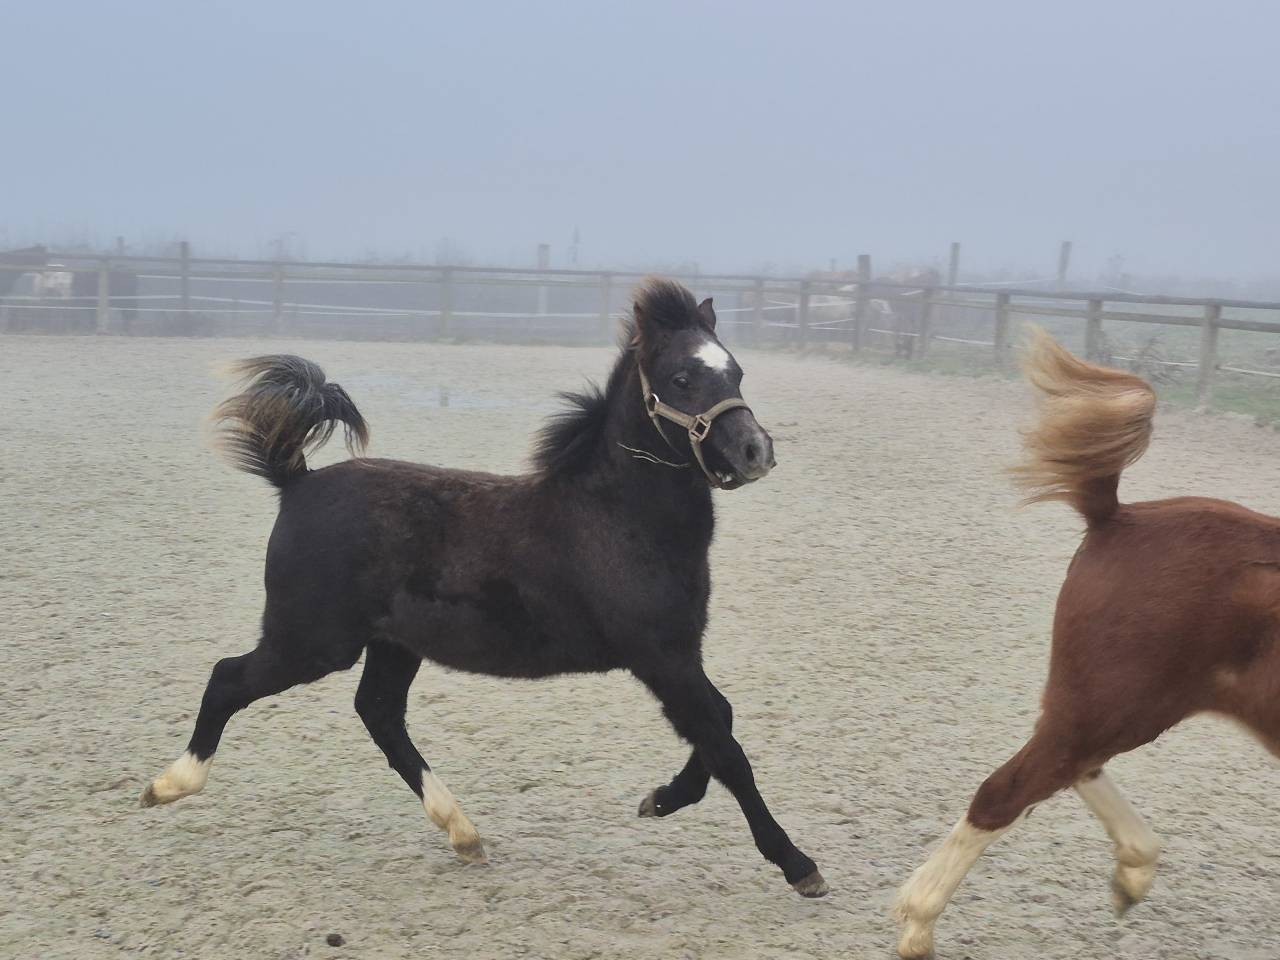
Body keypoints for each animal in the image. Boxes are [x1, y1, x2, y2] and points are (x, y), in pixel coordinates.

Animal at [140, 277, 828, 898]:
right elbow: (724, 744)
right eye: (683, 379)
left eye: (736, 371)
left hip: (392, 645)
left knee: (380, 716)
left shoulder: (678, 653)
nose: (755, 451)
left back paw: (463, 832)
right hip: (311, 643)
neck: (617, 517)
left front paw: (660, 799)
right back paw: (169, 785)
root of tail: (297, 484)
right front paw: (797, 864)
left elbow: (718, 725)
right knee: (229, 678)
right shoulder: (661, 656)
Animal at [895, 329, 1280, 956]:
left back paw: (1132, 873)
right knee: (1008, 789)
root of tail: (1117, 517)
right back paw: (918, 926)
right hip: (1119, 701)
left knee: (1070, 766)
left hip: (1115, 706)